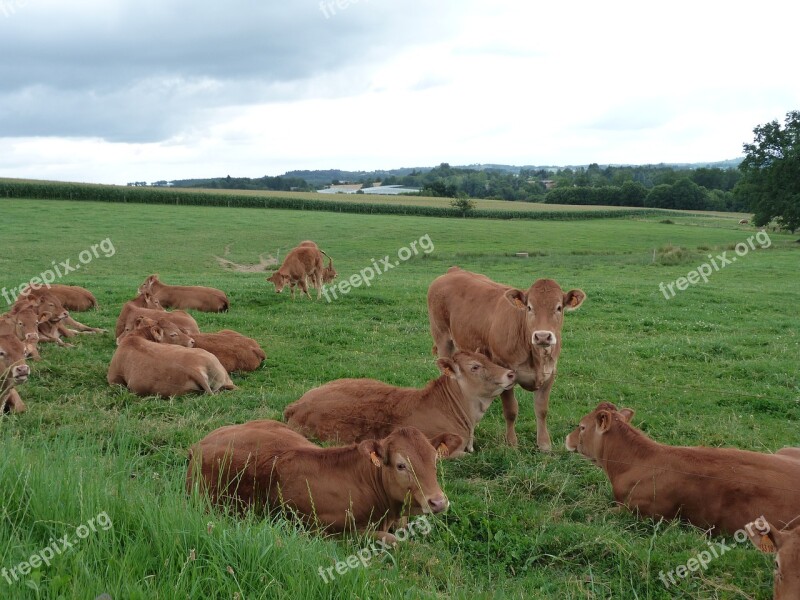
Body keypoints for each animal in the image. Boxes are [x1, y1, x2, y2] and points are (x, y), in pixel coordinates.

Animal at [188, 420, 462, 540]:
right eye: (401, 465)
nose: (438, 502)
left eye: (434, 461)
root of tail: (200, 443)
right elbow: (395, 542)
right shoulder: (332, 531)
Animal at [428, 268, 584, 450]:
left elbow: (542, 410)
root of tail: (453, 270)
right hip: (442, 338)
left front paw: (544, 444)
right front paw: (511, 442)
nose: (542, 336)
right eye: (529, 307)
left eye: (559, 307)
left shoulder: (550, 373)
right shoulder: (505, 370)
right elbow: (511, 410)